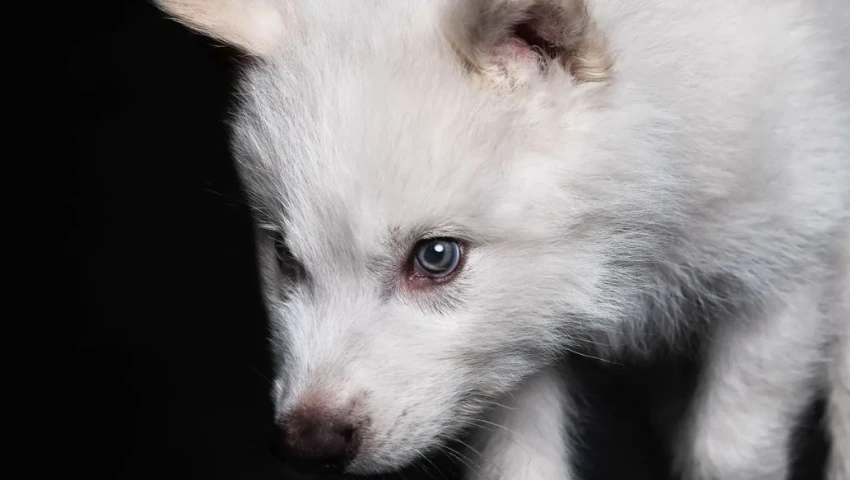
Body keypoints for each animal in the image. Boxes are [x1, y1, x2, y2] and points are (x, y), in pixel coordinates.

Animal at [156, 1, 850, 479]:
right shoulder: (516, 353)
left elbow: (731, 449)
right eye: (283, 256)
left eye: (436, 257)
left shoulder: (791, 280)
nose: (306, 446)